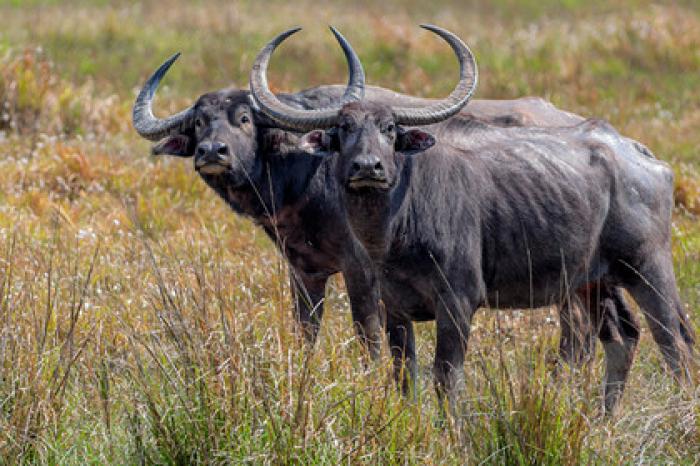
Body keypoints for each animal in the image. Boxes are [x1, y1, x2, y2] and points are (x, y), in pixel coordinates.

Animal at [249, 24, 692, 416]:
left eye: (390, 128)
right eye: (343, 128)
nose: (367, 167)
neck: (398, 229)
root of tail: (642, 154)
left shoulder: (458, 304)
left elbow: (446, 379)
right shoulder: (394, 308)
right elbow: (404, 377)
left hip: (648, 267)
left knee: (674, 341)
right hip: (593, 281)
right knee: (622, 337)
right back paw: (603, 420)